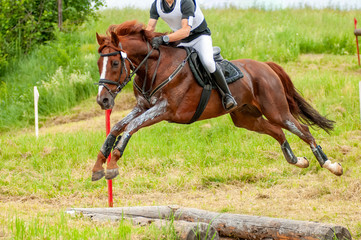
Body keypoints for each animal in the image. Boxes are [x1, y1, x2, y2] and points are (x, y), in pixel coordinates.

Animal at [91, 20, 342, 181]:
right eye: (98, 63)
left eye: (115, 63)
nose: (103, 100)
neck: (154, 67)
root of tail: (265, 66)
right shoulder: (142, 107)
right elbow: (117, 127)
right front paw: (98, 166)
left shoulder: (165, 109)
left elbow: (131, 127)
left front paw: (112, 165)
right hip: (246, 118)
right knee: (278, 132)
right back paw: (299, 161)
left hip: (276, 110)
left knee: (303, 130)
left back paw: (331, 165)